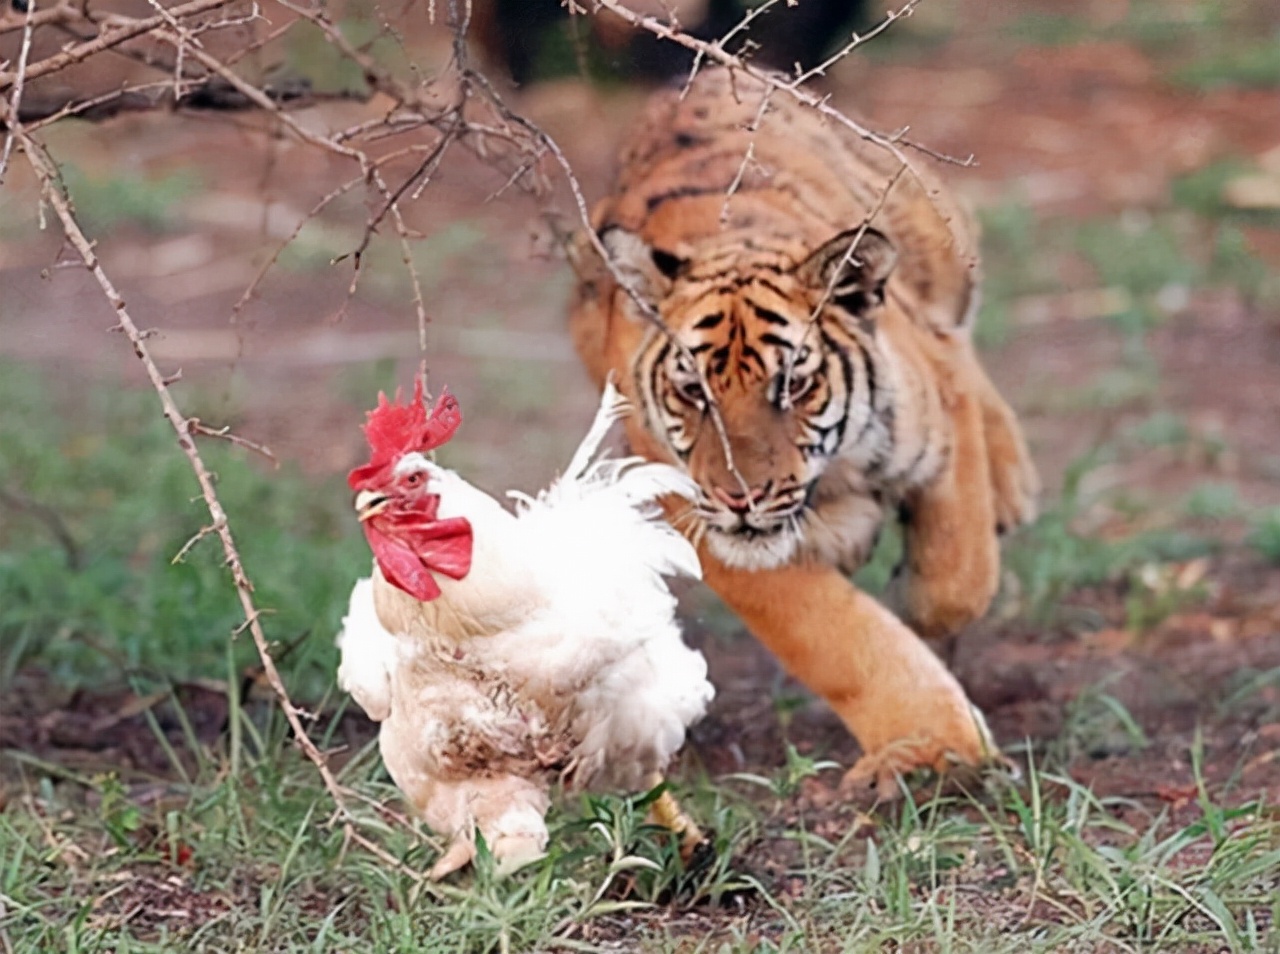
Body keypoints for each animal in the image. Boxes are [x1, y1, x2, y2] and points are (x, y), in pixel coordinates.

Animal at [568, 68, 1039, 791]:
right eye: (694, 391)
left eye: (791, 383)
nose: (740, 497)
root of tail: (692, 75)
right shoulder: (712, 530)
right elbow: (837, 639)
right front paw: (930, 748)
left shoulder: (937, 425)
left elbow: (956, 581)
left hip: (935, 240)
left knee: (955, 336)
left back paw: (1010, 485)